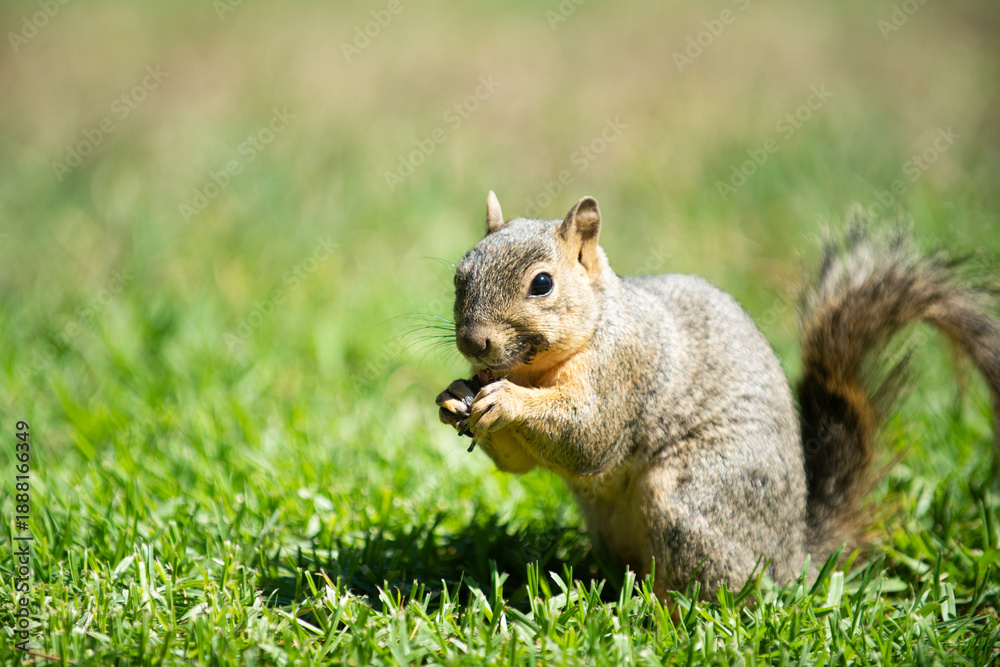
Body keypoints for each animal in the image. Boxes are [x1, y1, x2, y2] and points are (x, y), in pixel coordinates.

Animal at [436, 191, 1000, 599]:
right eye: (459, 276)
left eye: (542, 284)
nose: (473, 342)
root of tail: (791, 557)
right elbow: (518, 464)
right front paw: (456, 395)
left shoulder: (629, 368)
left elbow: (589, 438)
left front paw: (507, 402)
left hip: (694, 499)